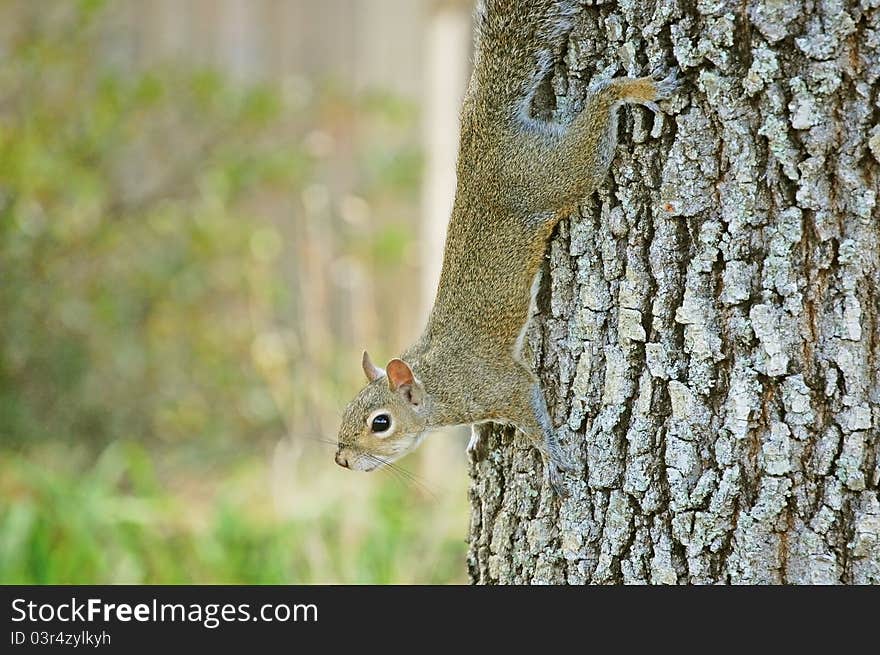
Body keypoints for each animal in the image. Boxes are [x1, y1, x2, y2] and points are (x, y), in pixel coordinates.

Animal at [334, 0, 676, 492]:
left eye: (381, 423)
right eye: (347, 408)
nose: (341, 459)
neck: (436, 384)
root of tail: (483, 123)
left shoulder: (499, 386)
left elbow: (529, 409)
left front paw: (551, 456)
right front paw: (478, 438)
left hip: (560, 173)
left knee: (598, 109)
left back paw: (633, 88)